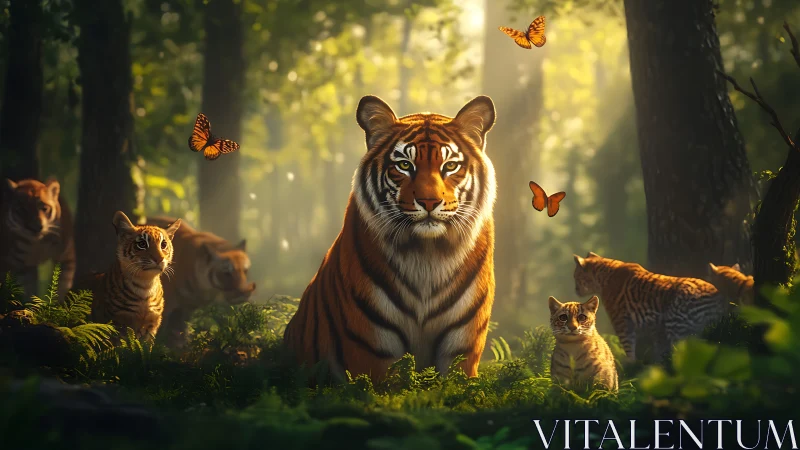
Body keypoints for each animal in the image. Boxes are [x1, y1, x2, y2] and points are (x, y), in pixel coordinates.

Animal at [77, 211, 180, 342]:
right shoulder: (119, 323)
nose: (159, 259)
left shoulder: (151, 326)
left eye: (163, 244)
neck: (146, 283)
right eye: (142, 244)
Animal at [283, 94, 497, 383]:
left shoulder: (460, 351)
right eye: (405, 165)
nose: (429, 201)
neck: (428, 256)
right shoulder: (372, 353)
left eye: (450, 166)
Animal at [573, 252, 730, 361]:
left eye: (575, 276)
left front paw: (630, 367)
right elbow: (659, 350)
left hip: (677, 328)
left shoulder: (622, 324)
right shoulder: (657, 327)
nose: (576, 290)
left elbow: (629, 349)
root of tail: (716, 294)